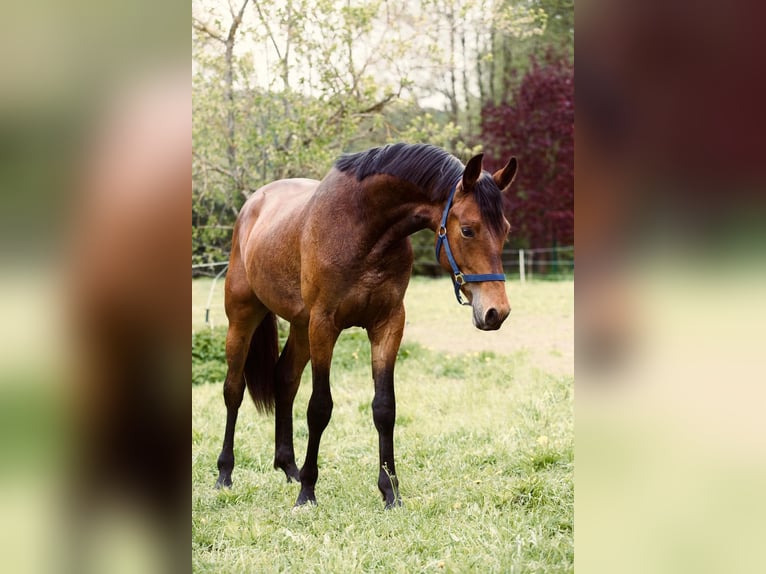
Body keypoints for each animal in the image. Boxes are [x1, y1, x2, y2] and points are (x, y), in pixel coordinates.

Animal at [214, 143, 518, 508]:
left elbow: (384, 408)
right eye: (468, 229)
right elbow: (319, 407)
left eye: (505, 230)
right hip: (243, 317)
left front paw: (390, 491)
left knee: (285, 381)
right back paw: (225, 473)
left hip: (300, 327)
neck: (362, 228)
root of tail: (253, 204)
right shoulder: (324, 326)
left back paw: (289, 468)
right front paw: (308, 492)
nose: (496, 312)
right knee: (233, 390)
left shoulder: (388, 325)